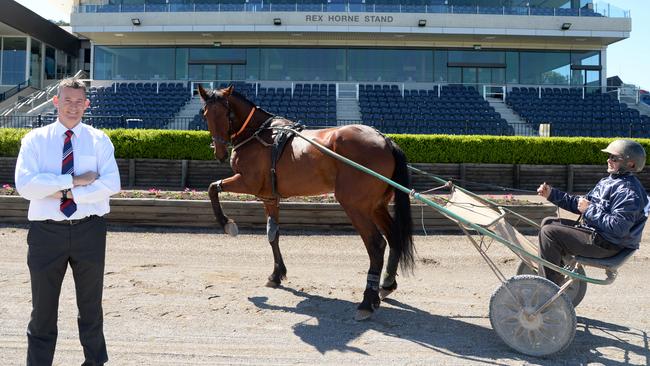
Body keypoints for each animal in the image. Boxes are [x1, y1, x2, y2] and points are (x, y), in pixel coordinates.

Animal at [195, 86, 412, 320]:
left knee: (376, 245)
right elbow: (273, 234)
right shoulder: (269, 196)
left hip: (356, 206)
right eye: (206, 115)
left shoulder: (247, 183)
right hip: (376, 206)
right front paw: (276, 274)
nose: (220, 152)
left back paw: (367, 301)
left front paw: (227, 224)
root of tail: (385, 140)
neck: (261, 134)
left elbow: (212, 188)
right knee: (393, 237)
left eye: (226, 114)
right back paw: (387, 284)